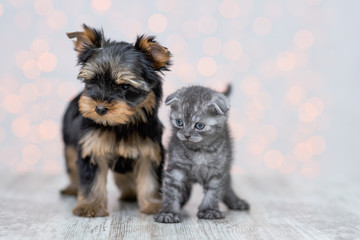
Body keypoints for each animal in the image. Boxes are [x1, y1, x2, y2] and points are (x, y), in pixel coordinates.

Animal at [60, 24, 170, 218]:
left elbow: (150, 180)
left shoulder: (149, 151)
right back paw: (72, 188)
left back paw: (130, 193)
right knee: (72, 165)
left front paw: (153, 206)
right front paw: (90, 206)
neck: (121, 124)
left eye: (125, 86)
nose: (99, 109)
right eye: (92, 81)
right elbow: (91, 180)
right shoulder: (92, 148)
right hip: (69, 144)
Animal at [155, 85, 250, 223]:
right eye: (179, 122)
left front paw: (209, 210)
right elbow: (171, 191)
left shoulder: (217, 170)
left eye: (199, 126)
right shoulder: (176, 168)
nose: (186, 135)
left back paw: (236, 202)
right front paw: (169, 212)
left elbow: (214, 191)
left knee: (227, 184)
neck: (198, 151)